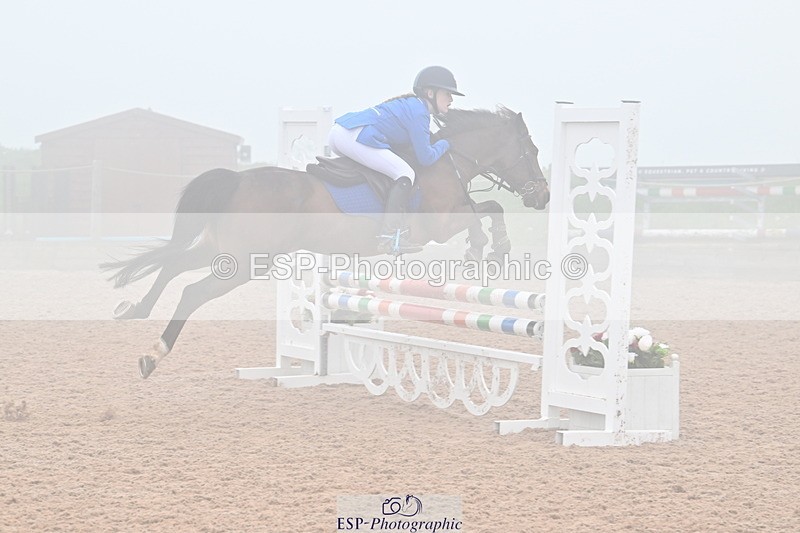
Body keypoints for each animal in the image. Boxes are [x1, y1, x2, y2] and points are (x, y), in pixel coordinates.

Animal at [102, 106, 549, 378]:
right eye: (531, 150)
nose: (543, 197)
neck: (446, 160)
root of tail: (238, 180)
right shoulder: (438, 224)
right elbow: (487, 209)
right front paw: (487, 249)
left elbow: (487, 206)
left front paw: (488, 247)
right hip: (246, 262)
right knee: (192, 291)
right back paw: (154, 354)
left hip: (222, 250)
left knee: (172, 265)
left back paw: (134, 310)